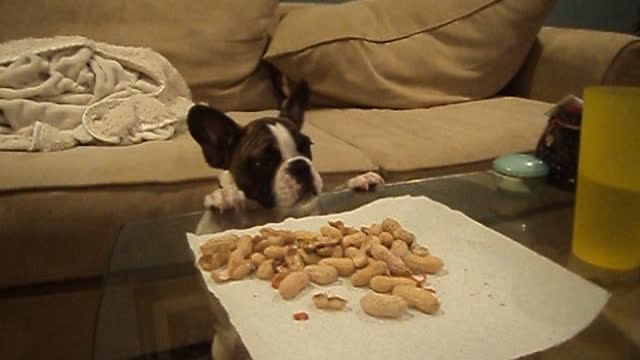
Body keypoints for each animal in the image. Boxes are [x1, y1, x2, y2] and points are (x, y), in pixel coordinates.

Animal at [188, 81, 382, 360]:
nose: (299, 165)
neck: (275, 212)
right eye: (263, 162)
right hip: (222, 345)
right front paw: (224, 196)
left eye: (307, 146)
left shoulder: (314, 209)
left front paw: (359, 180)